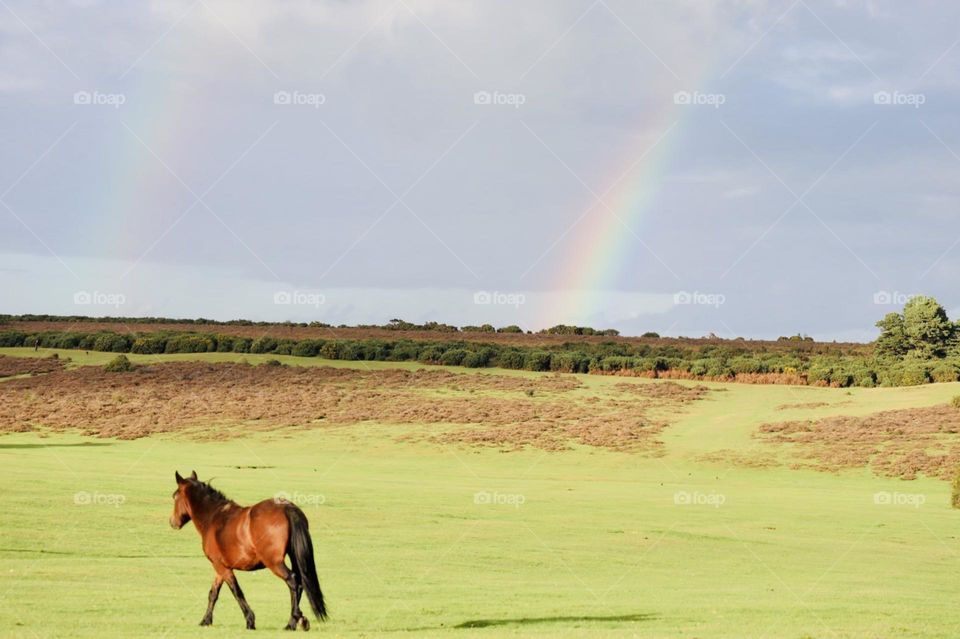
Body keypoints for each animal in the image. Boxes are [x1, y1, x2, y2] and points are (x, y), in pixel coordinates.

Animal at [170, 471, 327, 630]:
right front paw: (206, 620)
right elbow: (213, 593)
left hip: (274, 563)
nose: (172, 522)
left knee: (293, 581)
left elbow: (237, 592)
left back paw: (292, 621)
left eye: (175, 496)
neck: (214, 517)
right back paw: (299, 619)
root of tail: (287, 508)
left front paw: (250, 620)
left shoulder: (222, 567)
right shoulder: (220, 568)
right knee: (300, 582)